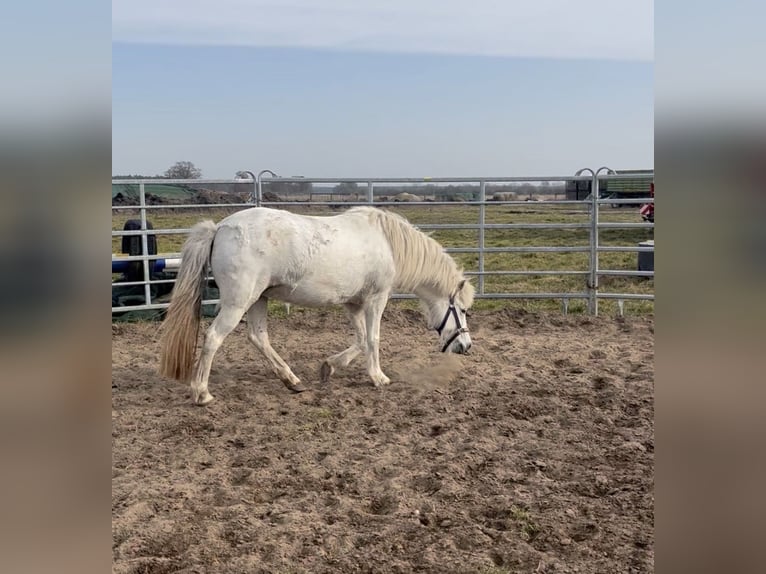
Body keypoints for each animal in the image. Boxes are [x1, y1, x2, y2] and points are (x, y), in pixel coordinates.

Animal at [159, 206, 475, 405]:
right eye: (462, 310)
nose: (466, 347)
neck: (387, 243)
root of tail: (220, 228)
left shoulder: (353, 304)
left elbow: (360, 339)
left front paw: (329, 366)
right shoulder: (376, 298)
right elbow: (373, 338)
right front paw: (378, 377)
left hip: (259, 299)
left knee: (258, 337)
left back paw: (292, 380)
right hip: (239, 302)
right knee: (213, 338)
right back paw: (201, 393)